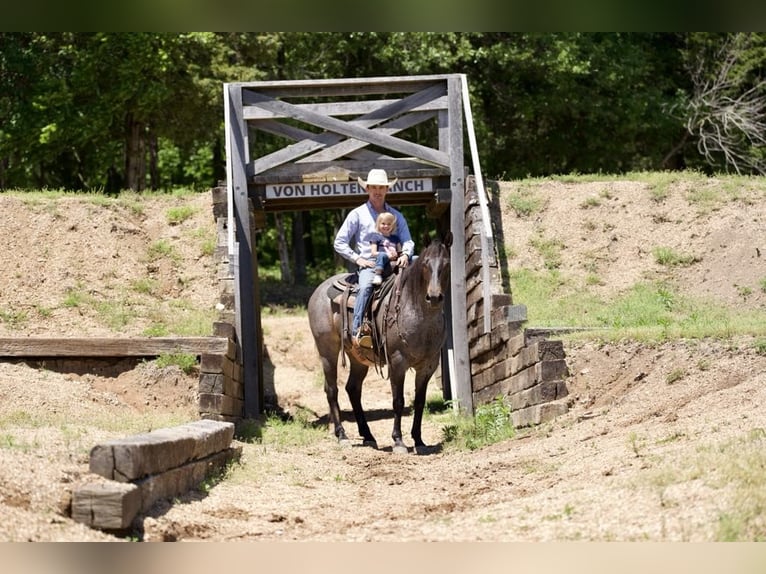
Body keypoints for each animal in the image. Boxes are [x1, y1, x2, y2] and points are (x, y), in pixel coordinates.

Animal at [308, 233, 452, 454]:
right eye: (426, 264)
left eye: (446, 264)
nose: (434, 297)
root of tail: (319, 290)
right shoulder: (397, 362)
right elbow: (398, 401)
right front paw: (399, 441)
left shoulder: (428, 365)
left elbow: (419, 402)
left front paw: (419, 440)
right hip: (327, 352)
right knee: (332, 390)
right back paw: (342, 435)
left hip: (357, 357)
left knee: (353, 389)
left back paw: (368, 435)